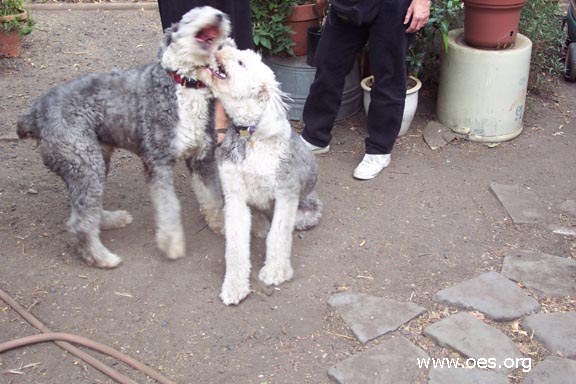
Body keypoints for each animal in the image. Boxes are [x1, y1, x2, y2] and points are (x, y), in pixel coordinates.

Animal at [15, 7, 228, 268]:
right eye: (193, 15)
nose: (219, 15)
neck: (186, 84)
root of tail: (34, 114)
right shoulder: (158, 164)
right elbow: (169, 208)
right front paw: (172, 245)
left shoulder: (201, 159)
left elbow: (212, 197)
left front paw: (222, 225)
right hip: (85, 163)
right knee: (79, 223)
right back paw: (102, 257)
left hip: (91, 162)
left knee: (85, 208)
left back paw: (110, 220)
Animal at [197, 46, 324, 304]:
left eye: (241, 62)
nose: (219, 48)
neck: (251, 137)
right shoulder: (234, 196)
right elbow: (235, 244)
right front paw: (234, 286)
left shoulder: (286, 195)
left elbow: (278, 235)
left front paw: (275, 272)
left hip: (306, 210)